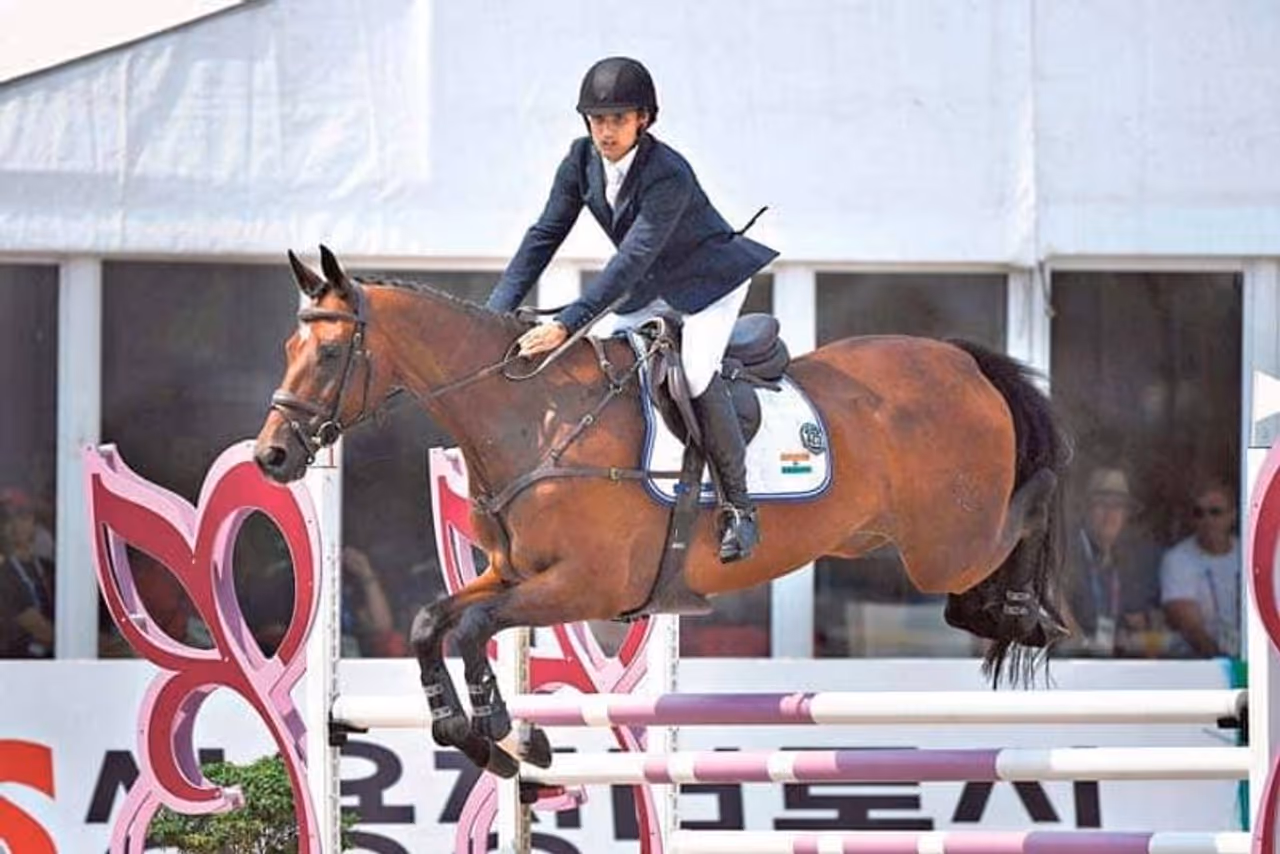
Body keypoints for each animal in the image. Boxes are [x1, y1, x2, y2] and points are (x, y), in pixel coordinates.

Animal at [253, 246, 1072, 778]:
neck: (533, 417)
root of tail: (961, 360)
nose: (273, 457)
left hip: (945, 545)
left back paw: (1028, 606)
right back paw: (1006, 613)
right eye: (287, 344)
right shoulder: (514, 573)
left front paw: (499, 731)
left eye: (330, 355)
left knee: (1023, 512)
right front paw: (485, 736)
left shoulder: (585, 585)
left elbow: (475, 628)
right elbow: (433, 622)